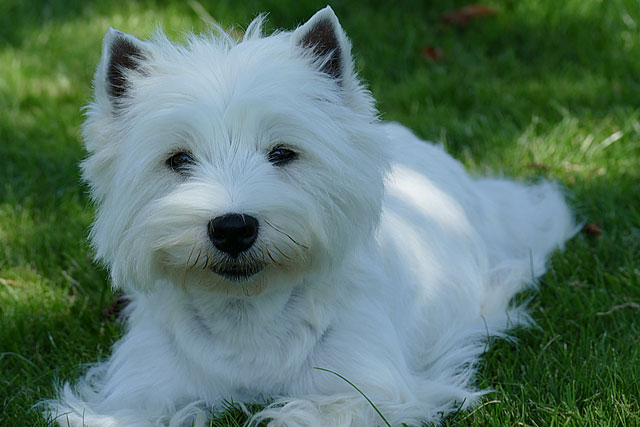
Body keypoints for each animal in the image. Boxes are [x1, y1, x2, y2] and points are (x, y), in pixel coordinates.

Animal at [45, 6, 576, 427]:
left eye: (282, 153)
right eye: (178, 160)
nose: (233, 228)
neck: (247, 318)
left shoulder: (363, 391)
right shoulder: (136, 393)